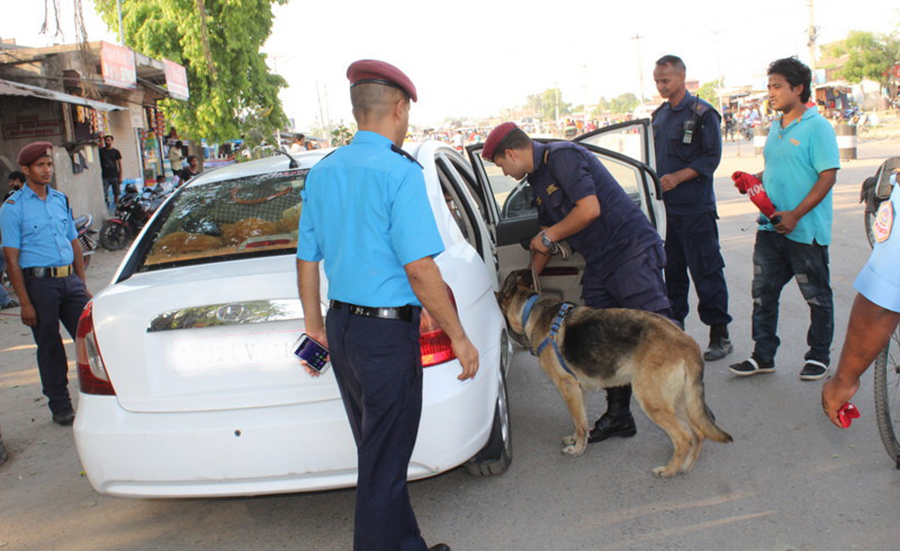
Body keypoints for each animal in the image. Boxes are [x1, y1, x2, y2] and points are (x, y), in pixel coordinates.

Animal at [500, 272, 732, 478]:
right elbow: (578, 419)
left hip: (652, 401)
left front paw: (578, 449)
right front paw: (576, 440)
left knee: (684, 438)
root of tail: (686, 342)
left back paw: (668, 471)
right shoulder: (577, 390)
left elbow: (579, 423)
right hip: (678, 401)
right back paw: (686, 467)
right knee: (698, 434)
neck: (529, 309)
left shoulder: (568, 387)